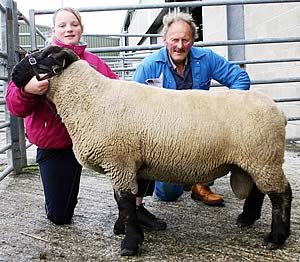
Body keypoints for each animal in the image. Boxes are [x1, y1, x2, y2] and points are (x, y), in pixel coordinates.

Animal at [11, 45, 292, 256]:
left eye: (41, 57)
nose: (14, 72)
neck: (90, 99)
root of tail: (280, 112)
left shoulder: (119, 160)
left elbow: (124, 201)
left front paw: (130, 243)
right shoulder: (125, 163)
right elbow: (124, 200)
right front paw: (123, 229)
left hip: (263, 157)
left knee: (281, 195)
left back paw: (276, 238)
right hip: (257, 158)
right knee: (260, 190)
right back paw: (247, 218)